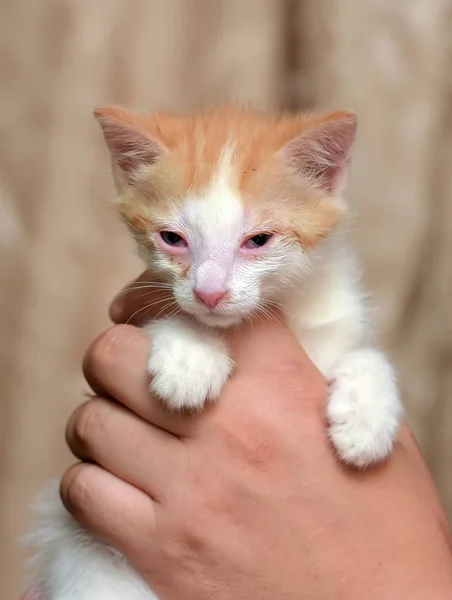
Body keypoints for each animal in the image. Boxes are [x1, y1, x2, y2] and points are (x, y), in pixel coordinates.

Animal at [27, 105, 402, 596]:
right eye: (172, 238)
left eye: (258, 240)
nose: (209, 293)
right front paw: (191, 356)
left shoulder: (336, 319)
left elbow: (365, 354)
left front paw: (367, 419)